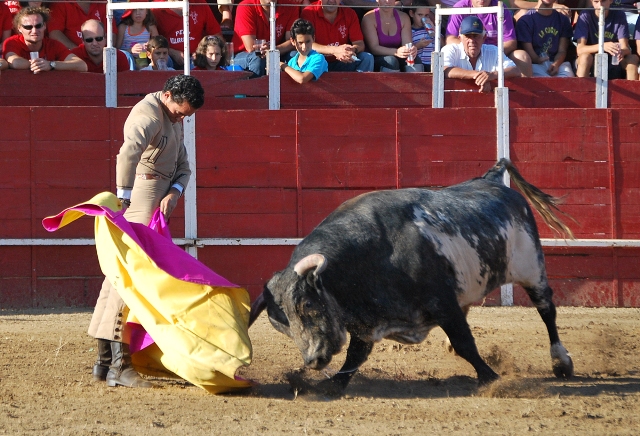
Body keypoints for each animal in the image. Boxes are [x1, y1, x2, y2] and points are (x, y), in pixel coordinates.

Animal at [249, 158, 576, 394]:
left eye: (307, 306)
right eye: (282, 326)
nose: (313, 360)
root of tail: (493, 180)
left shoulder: (442, 303)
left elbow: (465, 342)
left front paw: (491, 377)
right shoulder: (368, 320)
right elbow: (355, 356)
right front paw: (332, 384)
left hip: (532, 269)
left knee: (547, 311)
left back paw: (561, 362)